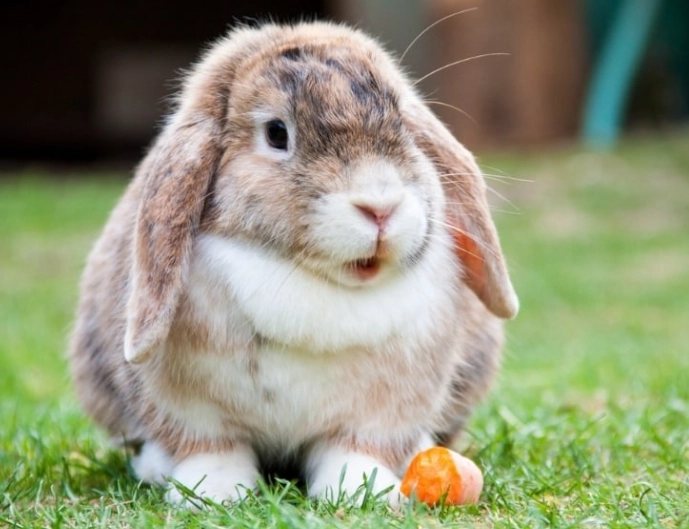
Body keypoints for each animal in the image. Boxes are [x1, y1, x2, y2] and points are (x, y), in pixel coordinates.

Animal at [69, 21, 518, 507]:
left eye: (402, 122)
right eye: (277, 133)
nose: (380, 207)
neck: (312, 281)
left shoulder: (381, 413)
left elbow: (354, 450)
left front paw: (362, 492)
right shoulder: (191, 410)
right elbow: (213, 449)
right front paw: (214, 493)